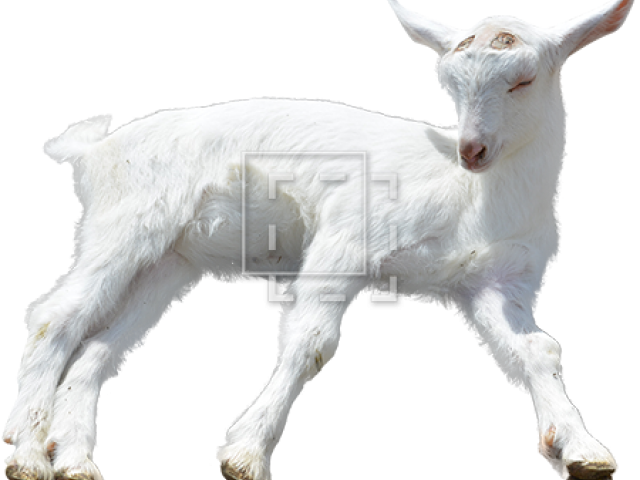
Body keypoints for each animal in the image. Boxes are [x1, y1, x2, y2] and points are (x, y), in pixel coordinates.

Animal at [3, 1, 634, 479]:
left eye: (523, 80)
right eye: (449, 85)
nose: (471, 149)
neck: (473, 198)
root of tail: (94, 151)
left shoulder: (494, 283)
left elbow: (538, 350)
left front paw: (584, 451)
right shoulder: (348, 237)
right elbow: (310, 341)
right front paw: (245, 453)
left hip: (167, 263)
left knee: (97, 346)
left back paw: (74, 460)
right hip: (126, 222)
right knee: (56, 317)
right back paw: (28, 452)